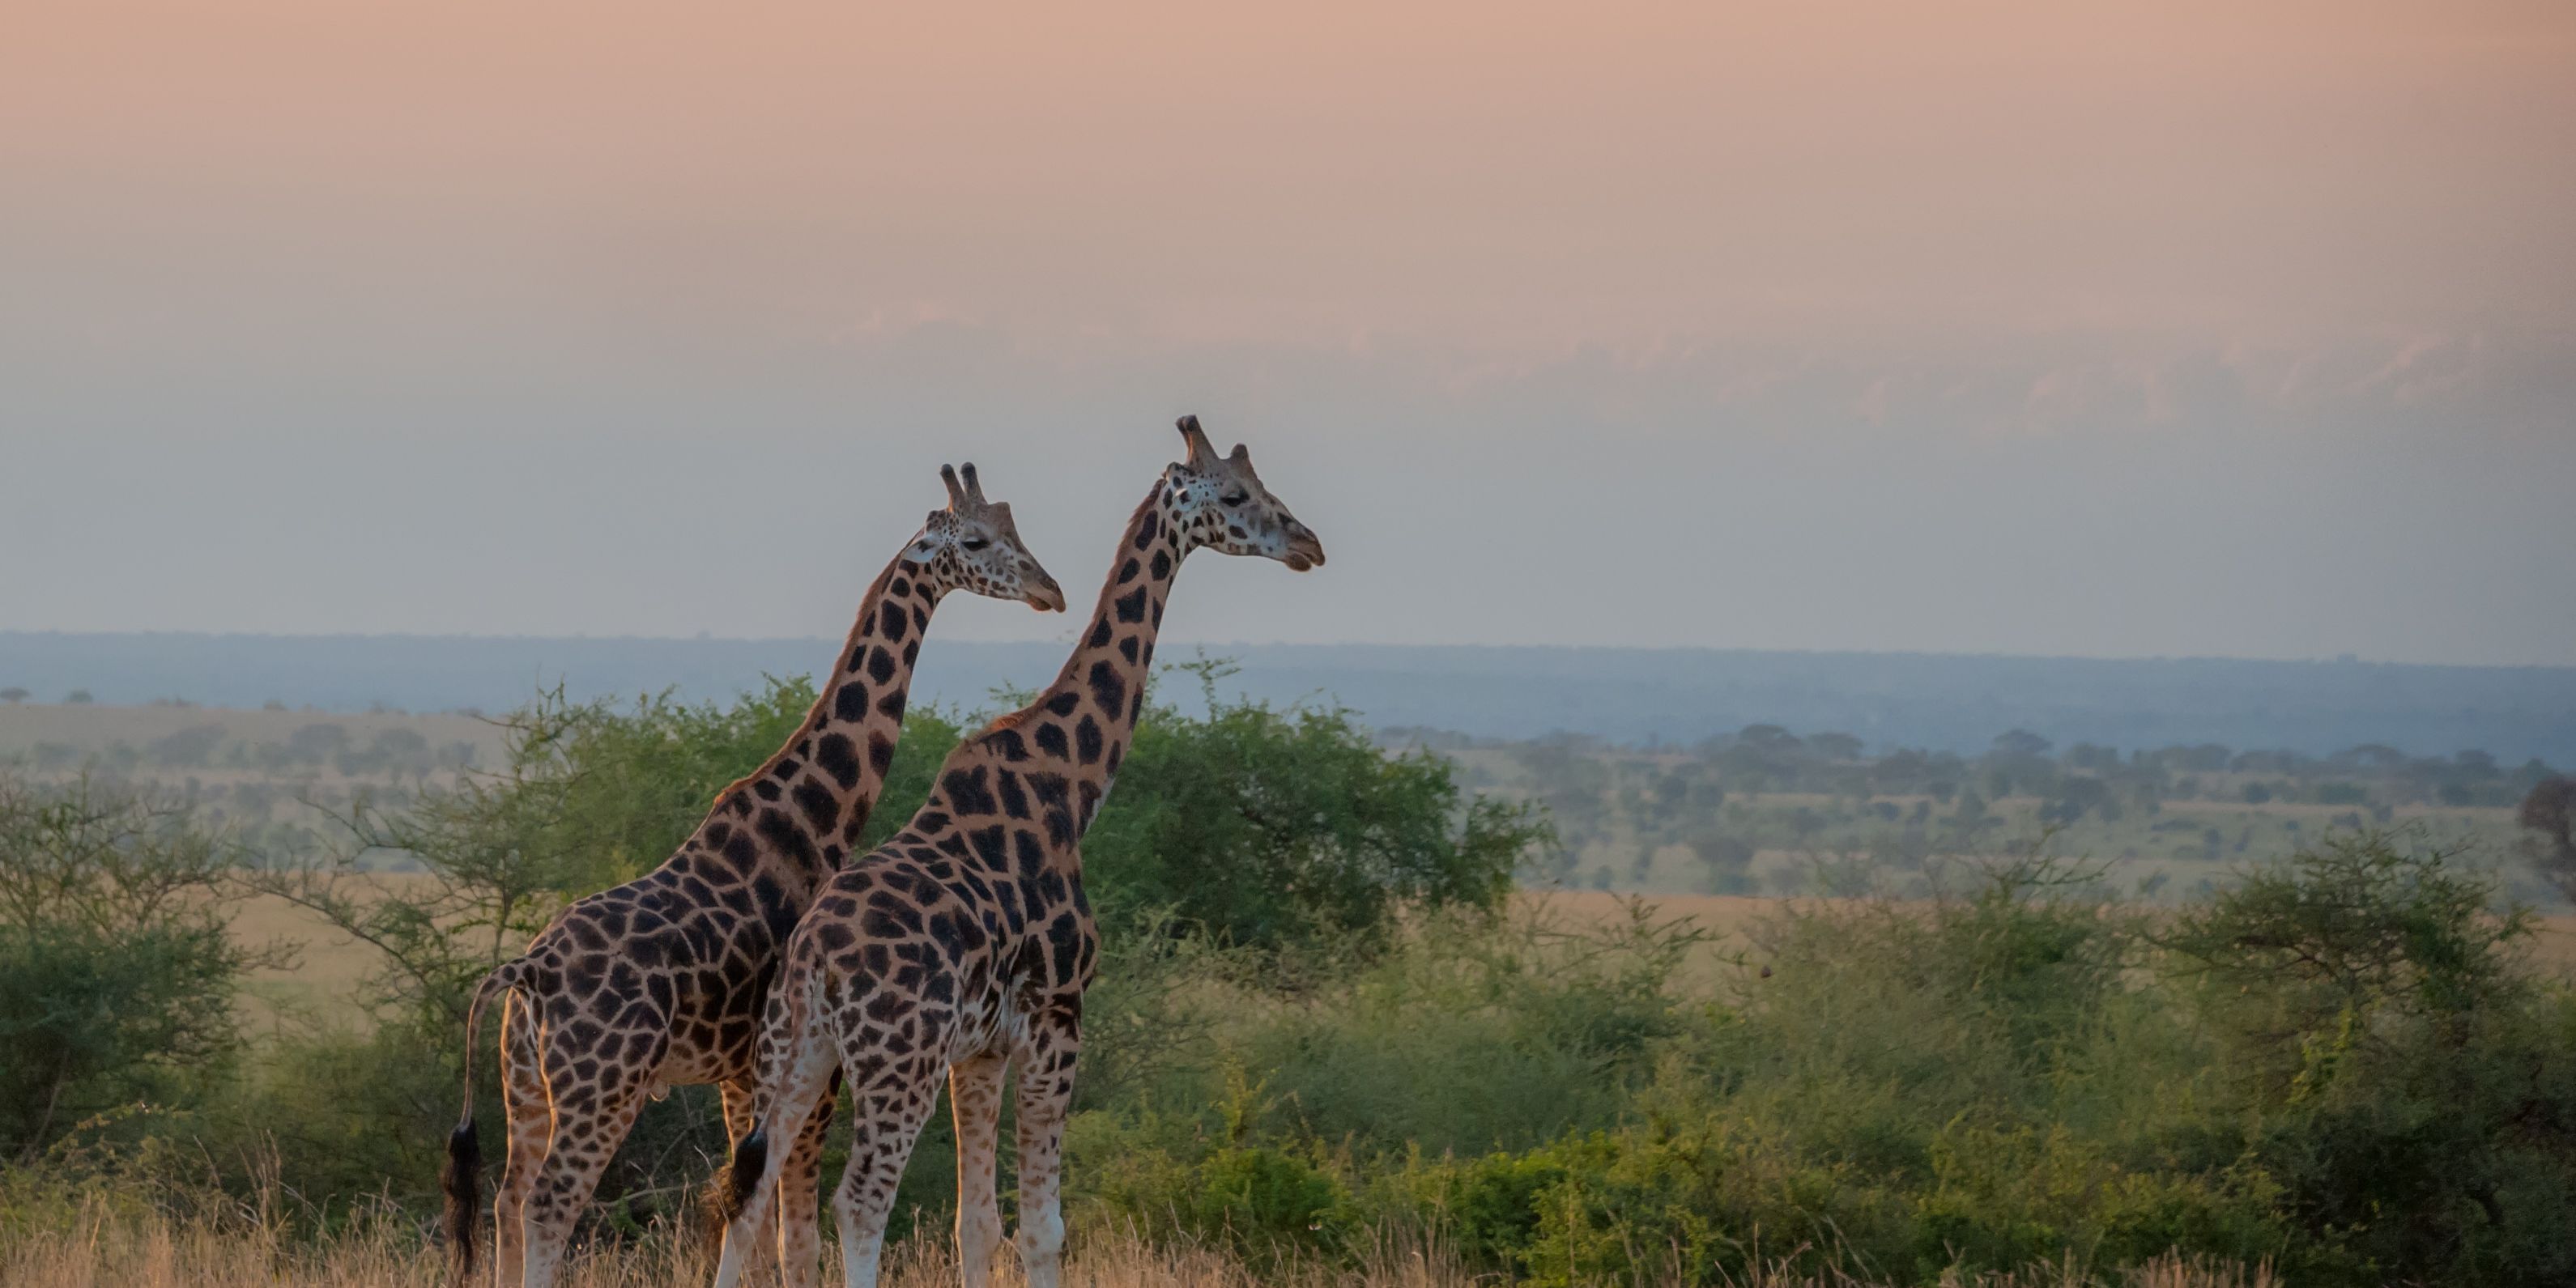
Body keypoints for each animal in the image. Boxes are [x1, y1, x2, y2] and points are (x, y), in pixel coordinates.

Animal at [438, 463, 1067, 1288]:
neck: (815, 814)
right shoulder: (796, 1067)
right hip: (601, 1086)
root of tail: (525, 970)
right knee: (547, 1206)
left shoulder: (743, 1072)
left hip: (528, 1087)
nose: (1050, 590)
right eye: (978, 540)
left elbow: (759, 1224)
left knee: (510, 1200)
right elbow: (789, 1233)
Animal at [709, 415, 1325, 1288]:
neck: (1070, 786)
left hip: (793, 1055)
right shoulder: (1058, 1017)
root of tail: (812, 965)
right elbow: (1041, 1226)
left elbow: (976, 1223)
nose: (1308, 543)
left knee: (747, 1194)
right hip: (896, 1060)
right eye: (1236, 495)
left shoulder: (982, 1049)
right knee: (858, 1200)